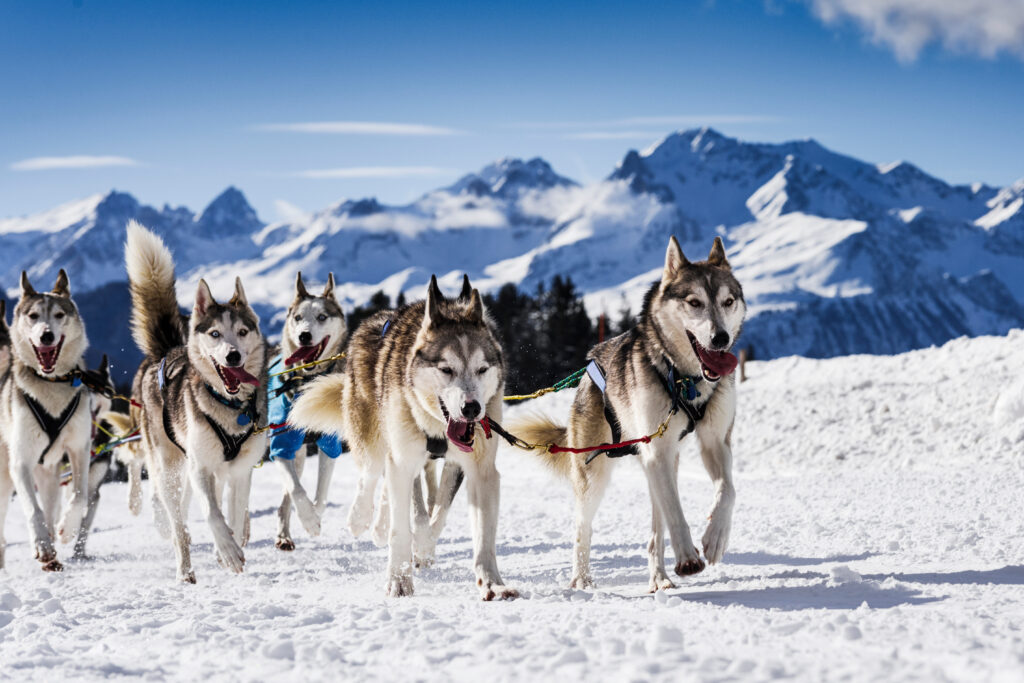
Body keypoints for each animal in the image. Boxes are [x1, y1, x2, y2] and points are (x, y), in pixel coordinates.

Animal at [0, 270, 92, 569]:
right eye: (33, 316)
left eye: (59, 315)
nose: (47, 335)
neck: (50, 384)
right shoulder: (21, 462)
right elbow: (33, 509)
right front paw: (41, 544)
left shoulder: (79, 448)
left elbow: (79, 495)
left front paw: (67, 529)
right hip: (5, 475)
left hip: (49, 473)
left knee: (52, 505)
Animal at [124, 220, 270, 581]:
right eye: (215, 334)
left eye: (242, 332)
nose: (233, 356)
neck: (231, 407)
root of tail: (166, 351)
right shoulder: (200, 467)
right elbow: (212, 514)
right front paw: (228, 551)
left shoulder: (240, 471)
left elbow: (234, 513)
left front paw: (230, 548)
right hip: (169, 470)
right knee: (179, 526)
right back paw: (184, 569)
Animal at [268, 270, 348, 548]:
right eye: (298, 318)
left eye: (322, 317)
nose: (304, 335)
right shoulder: (281, 445)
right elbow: (297, 490)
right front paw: (310, 520)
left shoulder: (329, 444)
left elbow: (321, 494)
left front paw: (315, 516)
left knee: (285, 500)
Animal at [290, 274, 516, 602]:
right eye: (446, 369)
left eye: (482, 369)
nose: (472, 408)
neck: (436, 426)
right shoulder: (407, 459)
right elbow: (404, 525)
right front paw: (399, 579)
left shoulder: (479, 469)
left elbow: (472, 529)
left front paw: (491, 582)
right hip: (372, 433)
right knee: (372, 474)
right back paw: (361, 518)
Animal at [512, 237, 745, 589]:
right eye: (694, 302)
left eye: (728, 301)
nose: (721, 338)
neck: (684, 379)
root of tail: (588, 370)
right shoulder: (657, 452)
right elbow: (676, 512)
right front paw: (688, 556)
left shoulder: (714, 442)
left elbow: (727, 491)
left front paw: (715, 537)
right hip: (596, 471)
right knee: (583, 527)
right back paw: (582, 579)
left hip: (660, 462)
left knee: (656, 531)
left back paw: (659, 578)